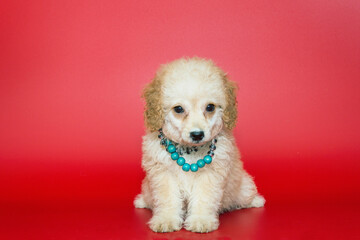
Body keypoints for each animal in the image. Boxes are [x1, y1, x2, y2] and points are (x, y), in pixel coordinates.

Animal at [134, 56, 264, 232]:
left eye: (210, 107)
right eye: (178, 109)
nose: (197, 134)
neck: (190, 151)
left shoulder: (212, 173)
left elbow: (204, 197)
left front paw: (200, 220)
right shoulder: (162, 173)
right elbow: (167, 198)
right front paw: (166, 219)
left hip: (242, 186)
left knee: (245, 195)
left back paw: (255, 200)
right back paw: (141, 201)